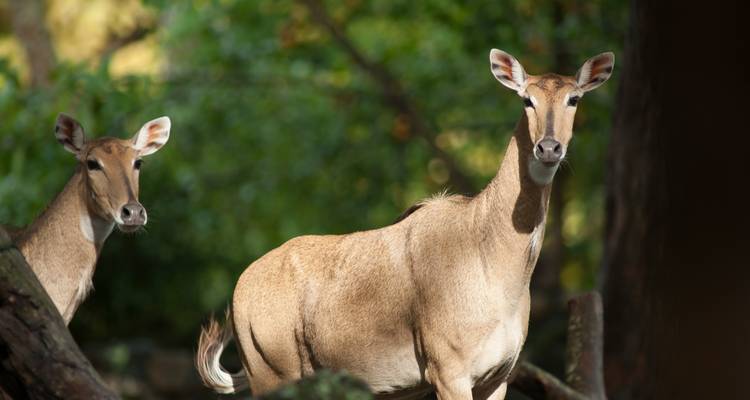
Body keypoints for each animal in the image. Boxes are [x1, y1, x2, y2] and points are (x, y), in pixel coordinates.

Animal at [196, 49, 613, 399]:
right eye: (527, 98)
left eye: (573, 98)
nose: (549, 147)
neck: (497, 265)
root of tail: (239, 291)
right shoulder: (448, 369)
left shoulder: (498, 377)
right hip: (272, 371)